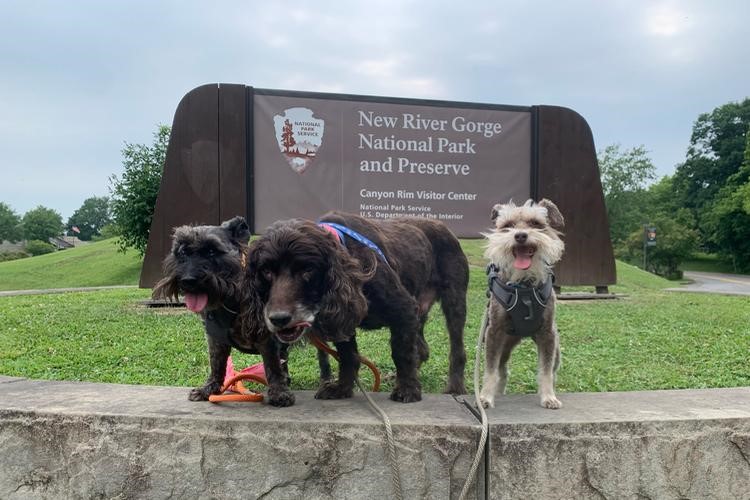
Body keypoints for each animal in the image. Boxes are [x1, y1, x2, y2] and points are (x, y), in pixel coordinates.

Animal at [151, 215, 296, 406]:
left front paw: (279, 392)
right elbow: (217, 365)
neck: (230, 297)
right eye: (182, 252)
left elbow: (272, 365)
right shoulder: (216, 339)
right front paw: (209, 389)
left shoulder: (266, 338)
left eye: (212, 251)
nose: (188, 280)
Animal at [482, 199, 564, 410]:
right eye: (507, 225)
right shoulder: (494, 333)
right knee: (502, 370)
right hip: (504, 345)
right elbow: (490, 370)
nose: (520, 235)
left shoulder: (548, 335)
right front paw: (485, 397)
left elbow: (545, 371)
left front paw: (548, 397)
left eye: (535, 223)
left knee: (553, 370)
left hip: (556, 350)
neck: (524, 285)